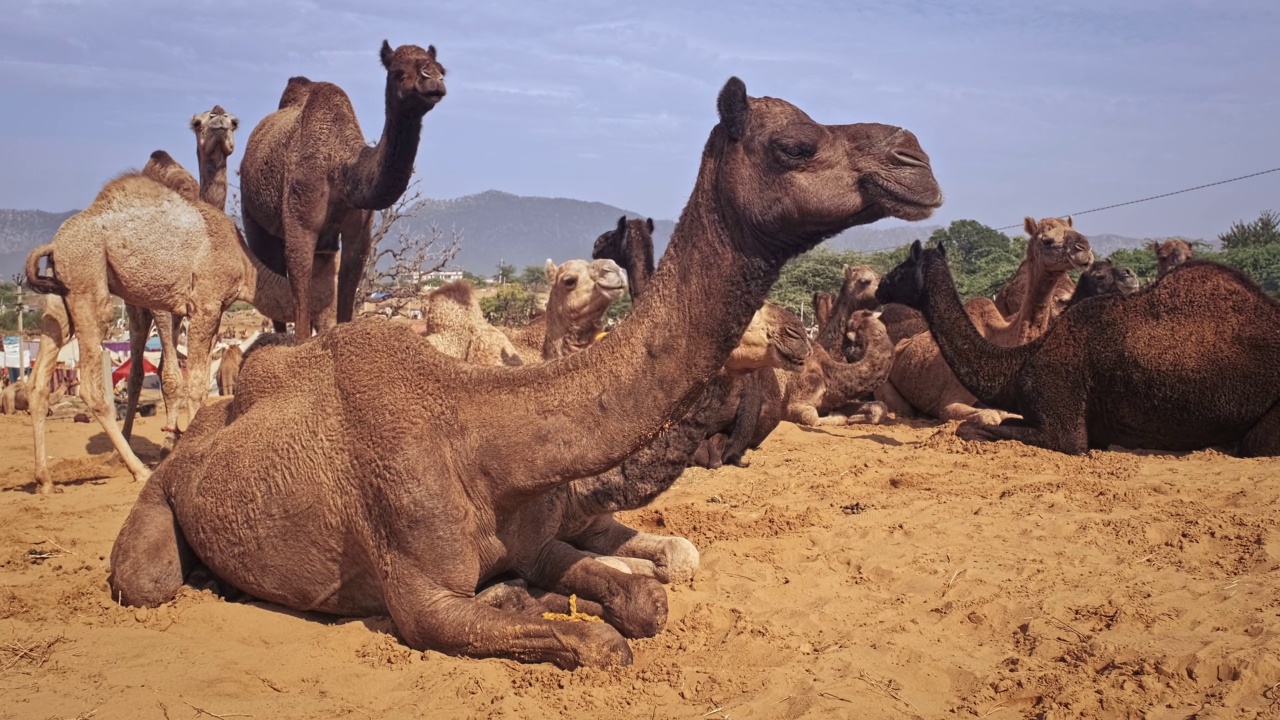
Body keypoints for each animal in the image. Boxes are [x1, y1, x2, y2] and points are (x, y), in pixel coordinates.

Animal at [241, 37, 448, 333]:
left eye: (442, 69)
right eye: (398, 72)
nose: (434, 80)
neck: (340, 170)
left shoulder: (358, 234)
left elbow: (345, 301)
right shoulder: (300, 226)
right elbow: (300, 312)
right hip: (253, 218)